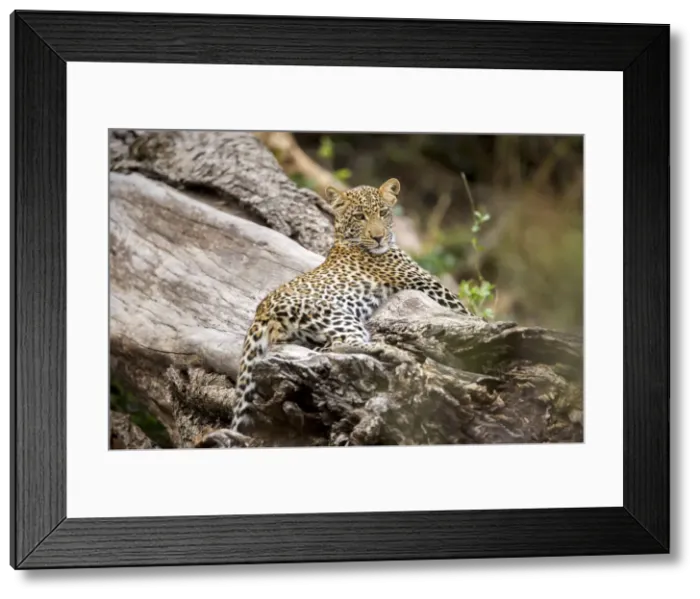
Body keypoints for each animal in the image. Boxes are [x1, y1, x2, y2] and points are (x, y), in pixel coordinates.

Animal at [198, 177, 472, 448]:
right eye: (360, 216)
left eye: (383, 213)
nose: (379, 237)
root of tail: (261, 313)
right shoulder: (431, 287)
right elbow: (466, 311)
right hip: (336, 314)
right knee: (345, 344)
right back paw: (392, 351)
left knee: (326, 349)